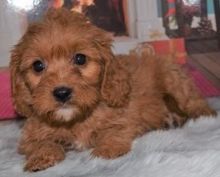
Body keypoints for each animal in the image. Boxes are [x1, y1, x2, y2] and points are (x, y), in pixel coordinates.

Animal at [10, 8, 217, 171]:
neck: (76, 118)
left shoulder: (125, 117)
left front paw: (106, 150)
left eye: (80, 59)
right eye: (38, 66)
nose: (61, 93)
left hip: (174, 80)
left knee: (197, 105)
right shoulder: (31, 134)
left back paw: (198, 116)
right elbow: (40, 142)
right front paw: (40, 157)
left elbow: (114, 130)